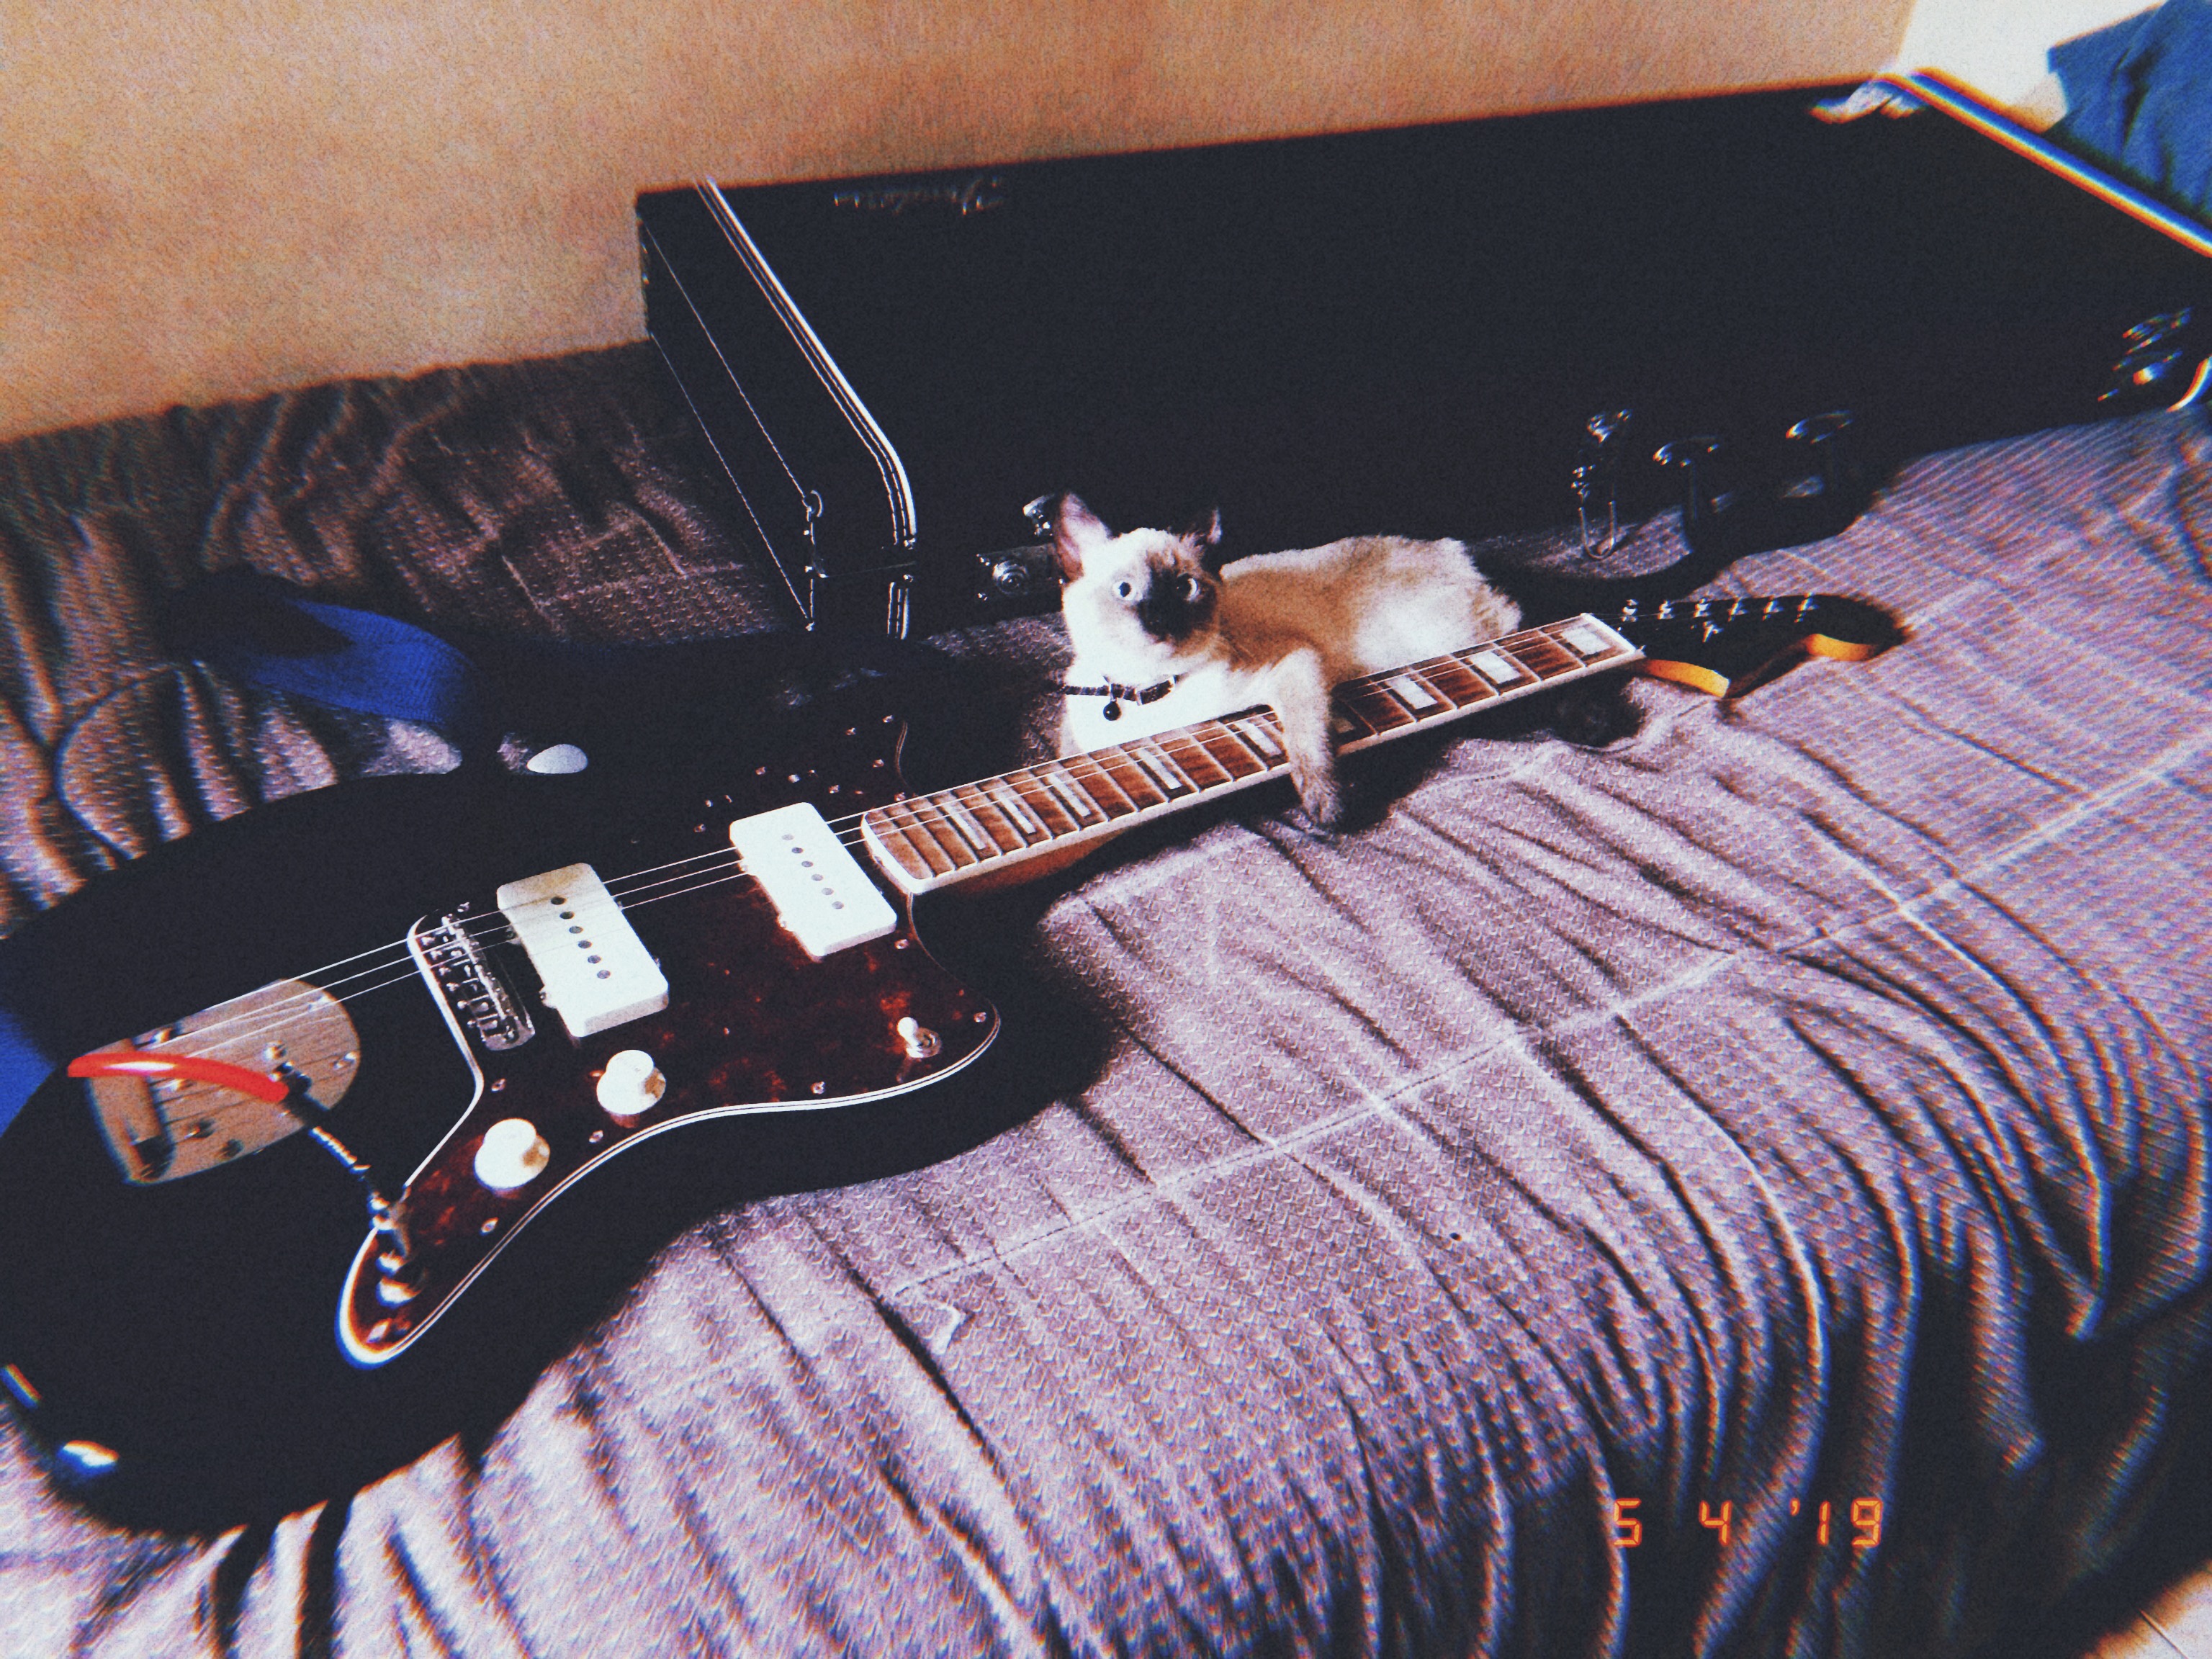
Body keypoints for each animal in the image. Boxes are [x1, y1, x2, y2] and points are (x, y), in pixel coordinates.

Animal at [1050, 493, 1521, 828]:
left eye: (1185, 587)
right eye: (1125, 591)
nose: (1162, 619)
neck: (1145, 691)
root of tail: (1447, 546)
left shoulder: (1292, 664)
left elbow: (1307, 742)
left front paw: (1329, 808)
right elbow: (1067, 756)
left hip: (1442, 636)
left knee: (1510, 616)